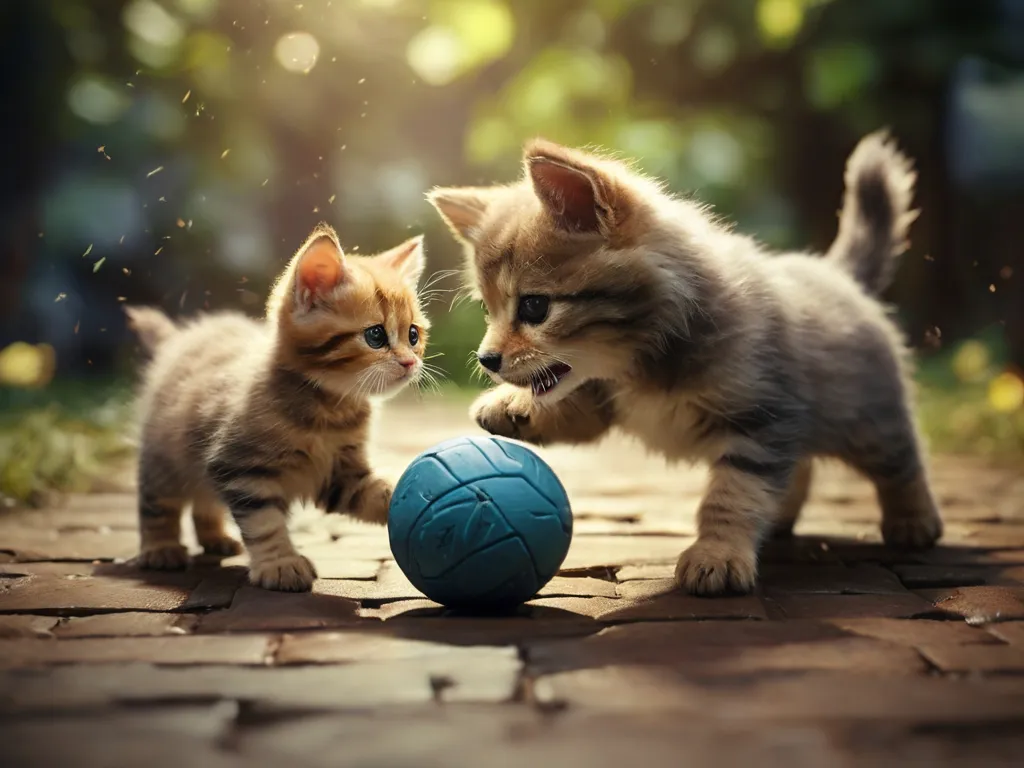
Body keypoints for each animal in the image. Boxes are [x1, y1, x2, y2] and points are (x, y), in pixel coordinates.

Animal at [124, 225, 428, 593]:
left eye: (413, 335)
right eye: (375, 336)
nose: (410, 362)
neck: (330, 410)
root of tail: (181, 340)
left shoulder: (338, 474)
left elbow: (374, 492)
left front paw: (407, 494)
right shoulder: (240, 467)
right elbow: (264, 521)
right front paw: (280, 563)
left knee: (204, 499)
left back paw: (215, 538)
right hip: (163, 457)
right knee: (157, 503)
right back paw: (161, 548)